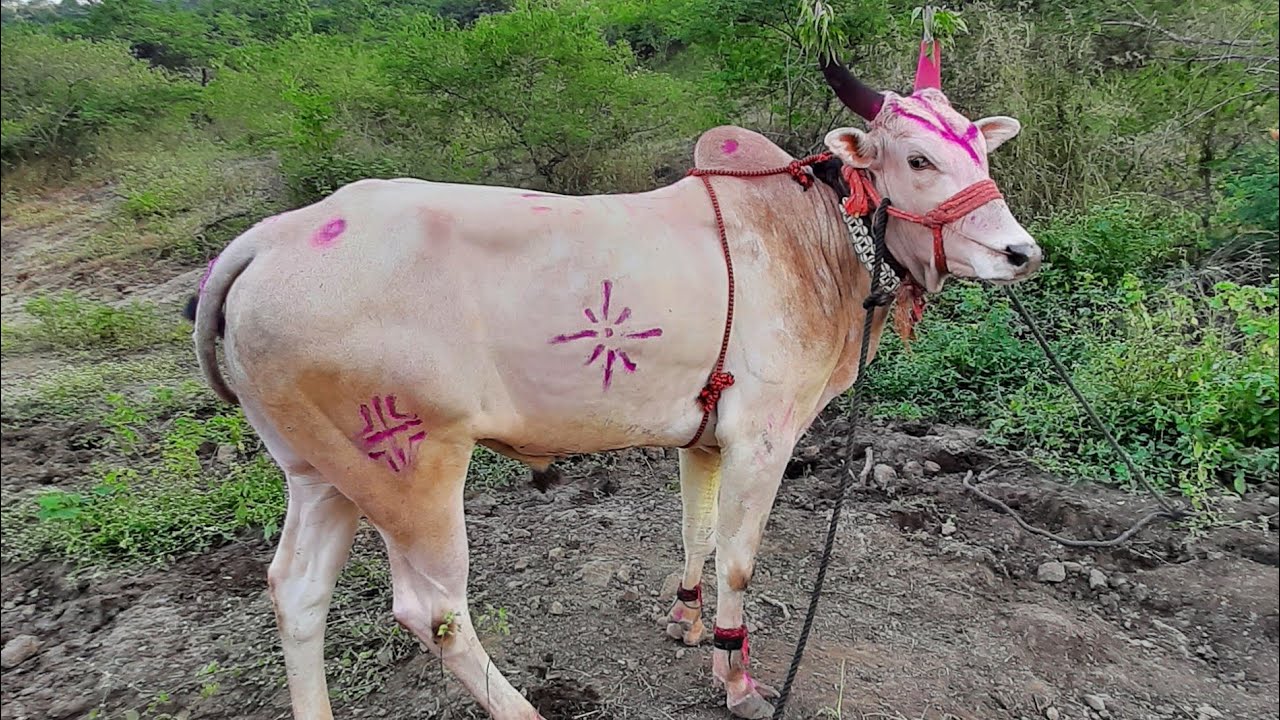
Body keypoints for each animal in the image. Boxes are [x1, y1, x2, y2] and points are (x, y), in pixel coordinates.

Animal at [184, 52, 1041, 719]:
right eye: (919, 160)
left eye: (981, 153)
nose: (1020, 253)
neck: (817, 236)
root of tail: (268, 239)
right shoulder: (764, 435)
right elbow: (738, 560)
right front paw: (736, 678)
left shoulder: (706, 437)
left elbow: (698, 534)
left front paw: (686, 622)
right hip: (410, 467)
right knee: (434, 612)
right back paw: (523, 707)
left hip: (320, 472)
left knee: (296, 592)